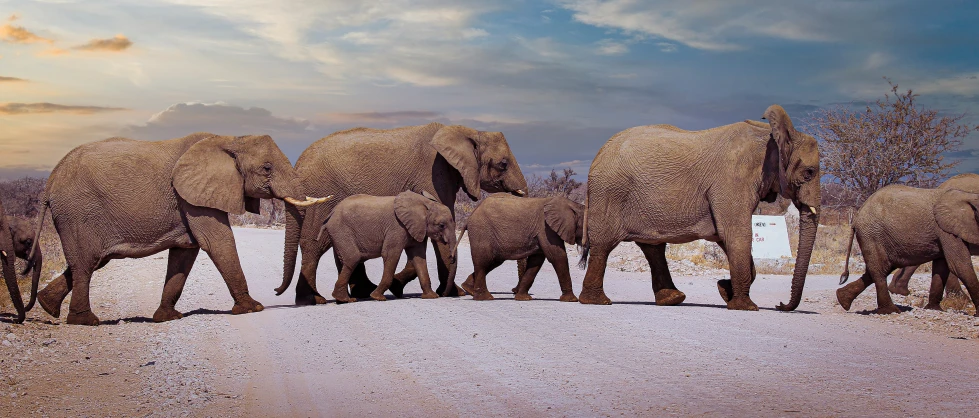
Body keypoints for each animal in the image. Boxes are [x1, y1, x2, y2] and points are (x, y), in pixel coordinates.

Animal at [33, 134, 330, 326]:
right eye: (267, 168)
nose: (277, 292)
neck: (231, 139)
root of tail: (50, 181)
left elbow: (186, 252)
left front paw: (167, 318)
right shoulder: (192, 198)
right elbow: (217, 241)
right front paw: (252, 309)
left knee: (92, 261)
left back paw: (47, 306)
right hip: (78, 212)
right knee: (86, 263)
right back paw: (86, 322)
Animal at [290, 191, 458, 302]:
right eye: (441, 225)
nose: (444, 295)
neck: (425, 203)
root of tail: (329, 215)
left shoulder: (416, 228)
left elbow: (419, 258)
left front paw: (431, 297)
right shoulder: (397, 228)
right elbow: (391, 254)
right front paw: (377, 297)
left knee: (345, 260)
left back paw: (343, 298)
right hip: (341, 230)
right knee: (352, 258)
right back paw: (346, 300)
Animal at [580, 106, 824, 312]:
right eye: (809, 173)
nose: (780, 305)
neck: (772, 135)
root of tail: (598, 155)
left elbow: (727, 237)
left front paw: (724, 290)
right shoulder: (733, 181)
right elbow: (736, 234)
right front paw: (745, 306)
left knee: (653, 248)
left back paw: (673, 299)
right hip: (610, 193)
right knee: (604, 244)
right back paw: (597, 301)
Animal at [836, 185, 979, 316]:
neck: (968, 196)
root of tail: (857, 216)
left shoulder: (946, 231)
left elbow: (941, 268)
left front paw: (934, 309)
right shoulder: (946, 231)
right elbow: (959, 266)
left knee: (882, 268)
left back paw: (843, 300)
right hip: (872, 234)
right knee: (880, 269)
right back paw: (890, 311)